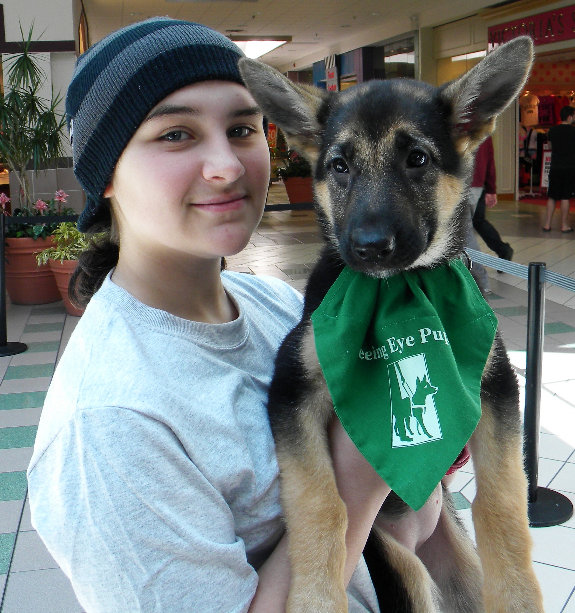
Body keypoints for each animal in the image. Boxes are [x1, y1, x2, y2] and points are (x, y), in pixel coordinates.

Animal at [238, 38, 544, 612]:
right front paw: (315, 598)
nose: (370, 247)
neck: (396, 291)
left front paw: (517, 594)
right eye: (339, 166)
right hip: (403, 572)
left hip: (458, 568)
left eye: (417, 159)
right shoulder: (292, 389)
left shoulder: (495, 386)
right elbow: (320, 504)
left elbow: (502, 500)